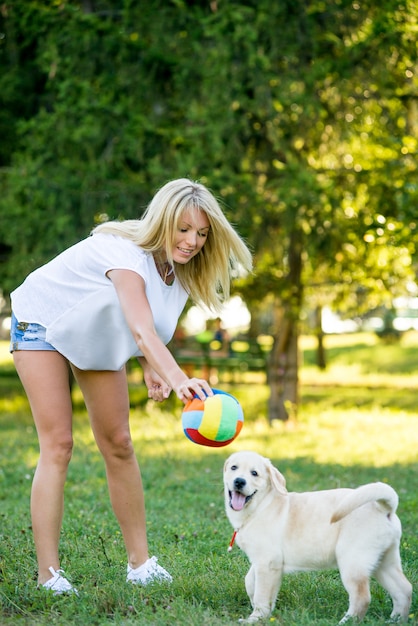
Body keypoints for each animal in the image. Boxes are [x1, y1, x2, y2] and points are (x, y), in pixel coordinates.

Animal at [224, 450, 414, 620]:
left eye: (254, 473)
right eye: (234, 467)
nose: (239, 481)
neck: (259, 506)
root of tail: (384, 508)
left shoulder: (268, 562)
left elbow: (262, 593)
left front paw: (256, 618)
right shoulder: (262, 560)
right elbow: (249, 580)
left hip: (353, 561)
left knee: (362, 598)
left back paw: (346, 622)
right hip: (385, 561)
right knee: (404, 589)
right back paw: (396, 620)